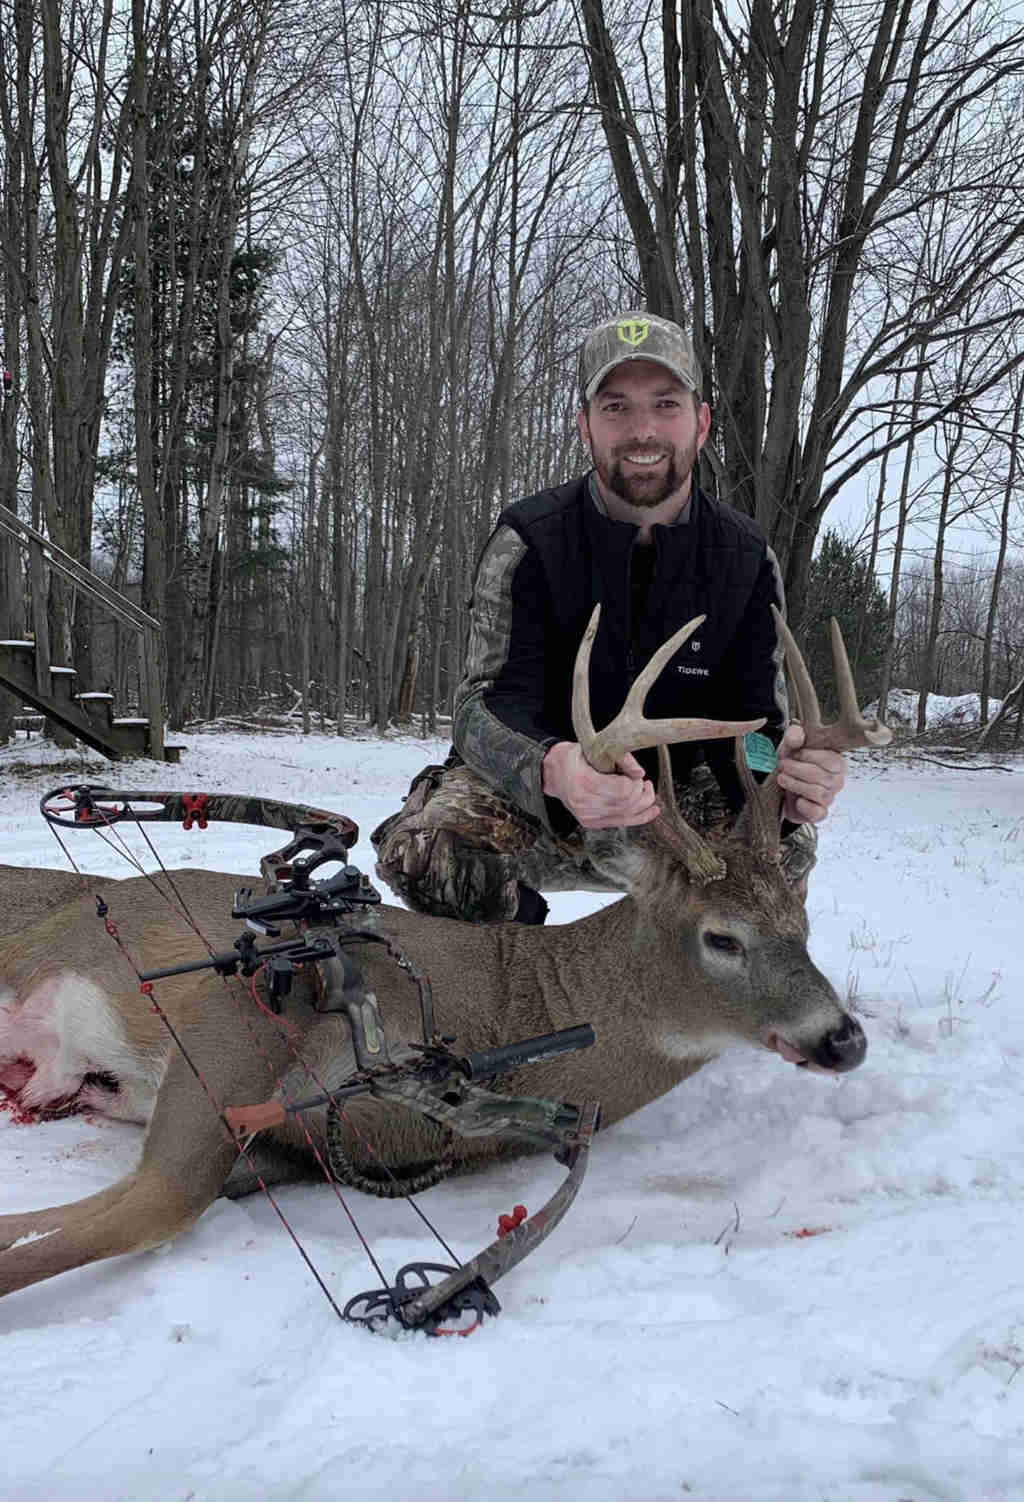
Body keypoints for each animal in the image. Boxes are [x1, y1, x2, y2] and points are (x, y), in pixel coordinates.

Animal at [0, 609, 889, 1304]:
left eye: (803, 920)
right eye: (722, 936)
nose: (844, 1038)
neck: (510, 1005)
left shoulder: (287, 1148)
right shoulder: (240, 1011)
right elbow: (148, 1204)